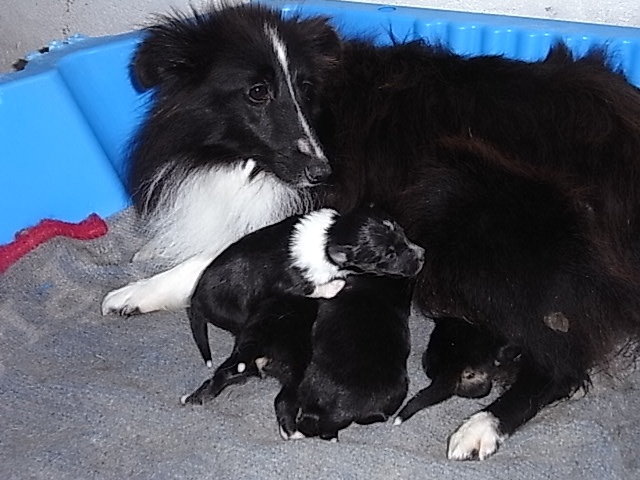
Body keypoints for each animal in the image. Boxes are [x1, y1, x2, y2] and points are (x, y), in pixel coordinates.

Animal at [188, 206, 422, 368]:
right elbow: (312, 288)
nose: (423, 255)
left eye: (402, 232)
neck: (329, 236)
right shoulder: (290, 282)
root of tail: (195, 298)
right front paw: (336, 285)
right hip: (234, 314)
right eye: (389, 255)